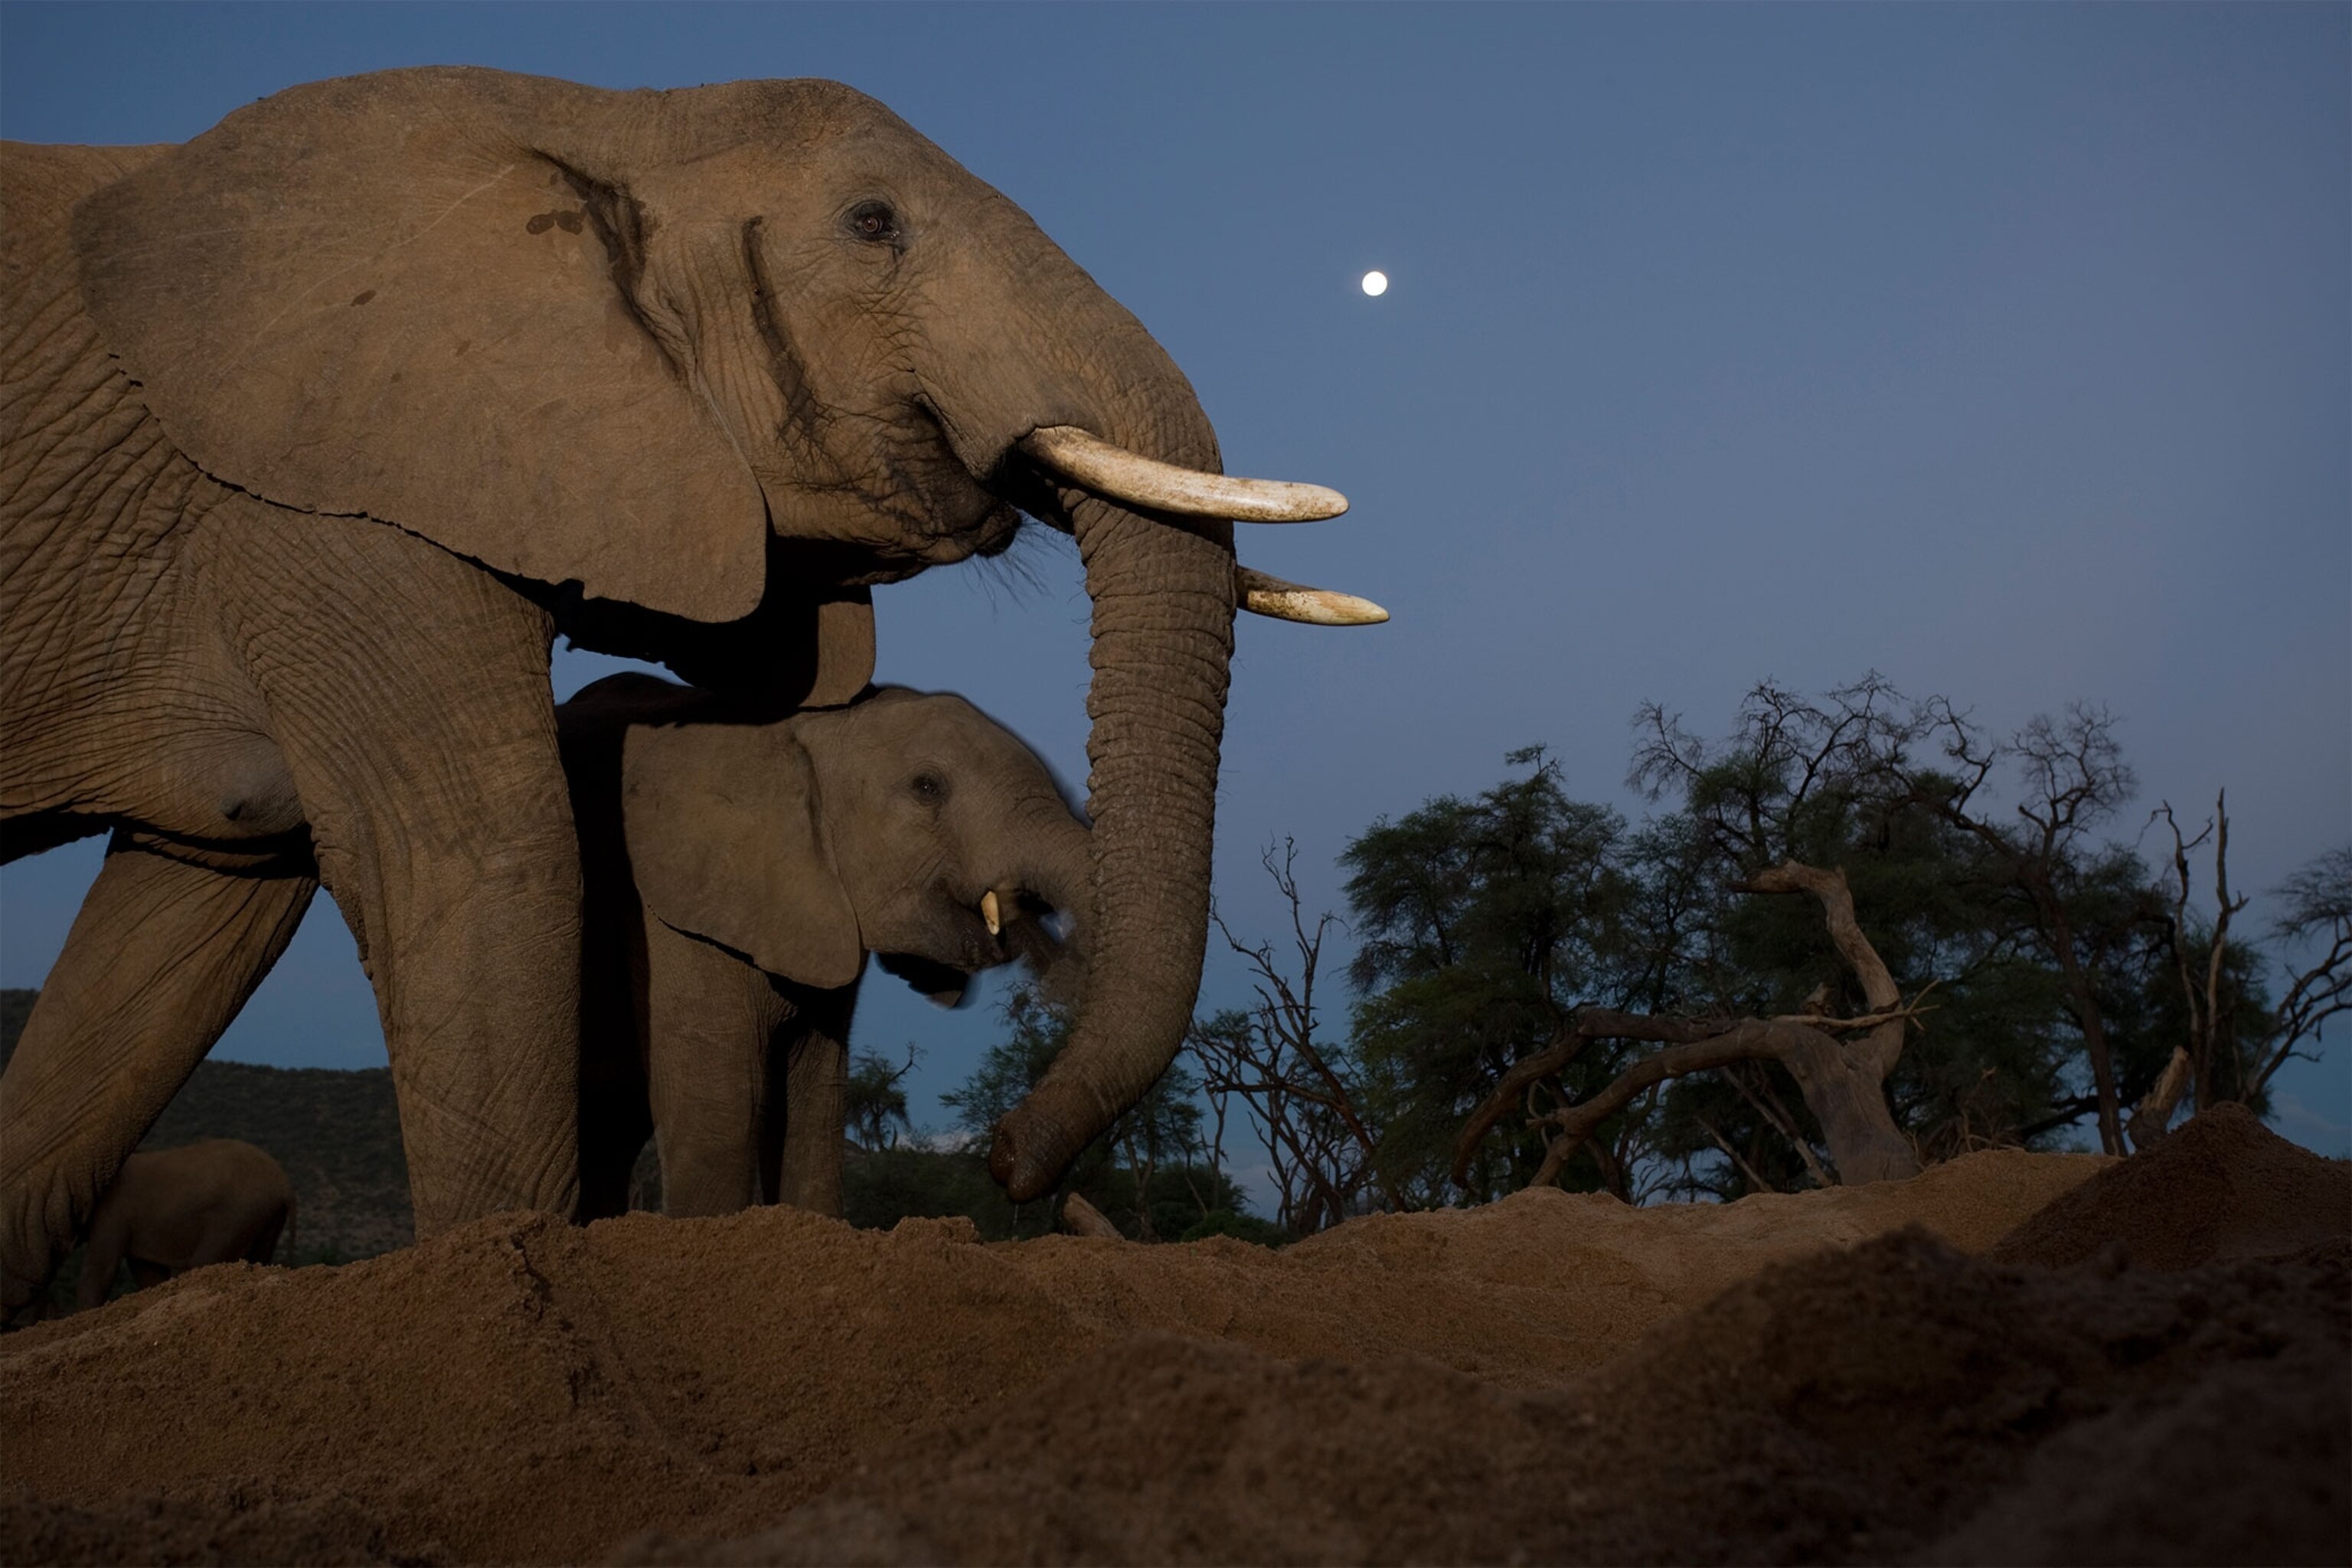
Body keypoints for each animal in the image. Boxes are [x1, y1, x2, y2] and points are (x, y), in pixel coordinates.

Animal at [75, 1139, 294, 1312]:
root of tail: (284, 1187)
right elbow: (147, 1271)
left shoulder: (113, 1212)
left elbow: (102, 1267)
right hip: (266, 1218)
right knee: (260, 1257)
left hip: (236, 1216)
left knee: (203, 1260)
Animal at [560, 673, 1088, 1221]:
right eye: (927, 788)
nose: (1003, 1157)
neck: (799, 729)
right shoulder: (669, 914)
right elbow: (719, 1115)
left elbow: (812, 1113)